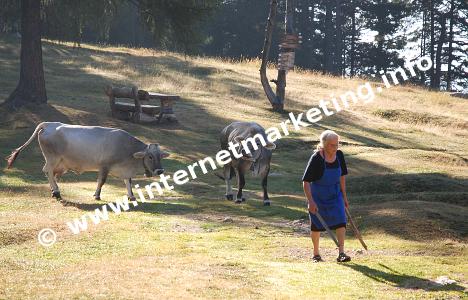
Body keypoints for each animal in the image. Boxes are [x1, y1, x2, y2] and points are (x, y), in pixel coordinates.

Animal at [6, 122, 169, 202]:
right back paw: (57, 192)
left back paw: (54, 190)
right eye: (150, 156)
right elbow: (101, 181)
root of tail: (48, 124)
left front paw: (131, 196)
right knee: (47, 171)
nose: (160, 171)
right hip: (52, 158)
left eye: (160, 156)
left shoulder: (125, 170)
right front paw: (96, 195)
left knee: (52, 174)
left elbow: (128, 182)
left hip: (60, 163)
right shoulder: (104, 166)